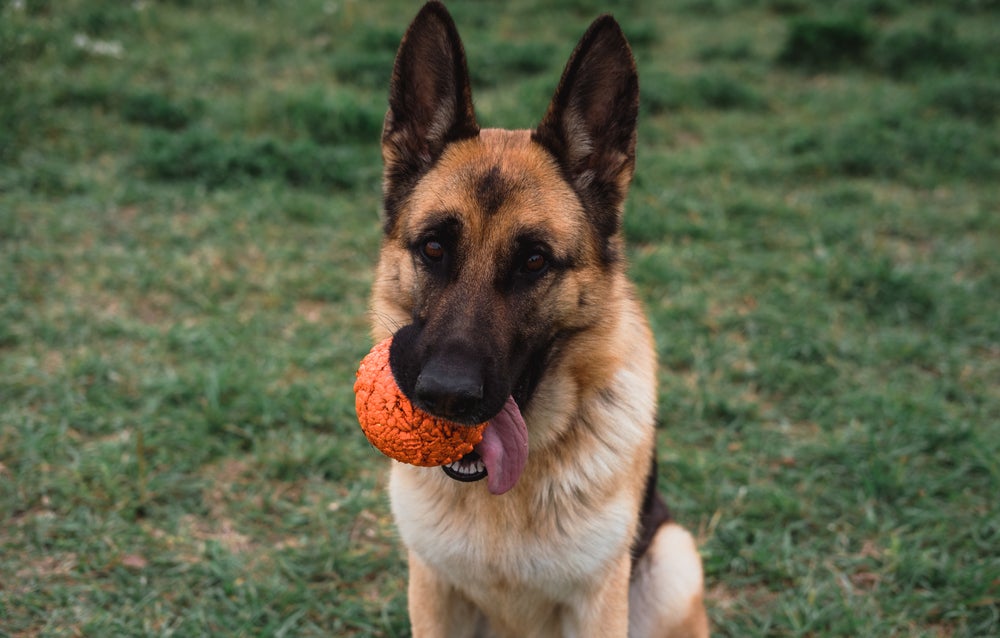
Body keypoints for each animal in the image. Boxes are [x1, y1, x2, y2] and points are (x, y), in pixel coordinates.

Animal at [370, 2, 712, 636]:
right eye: (433, 248)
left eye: (534, 261)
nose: (447, 395)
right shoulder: (432, 591)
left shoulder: (598, 603)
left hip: (674, 562)